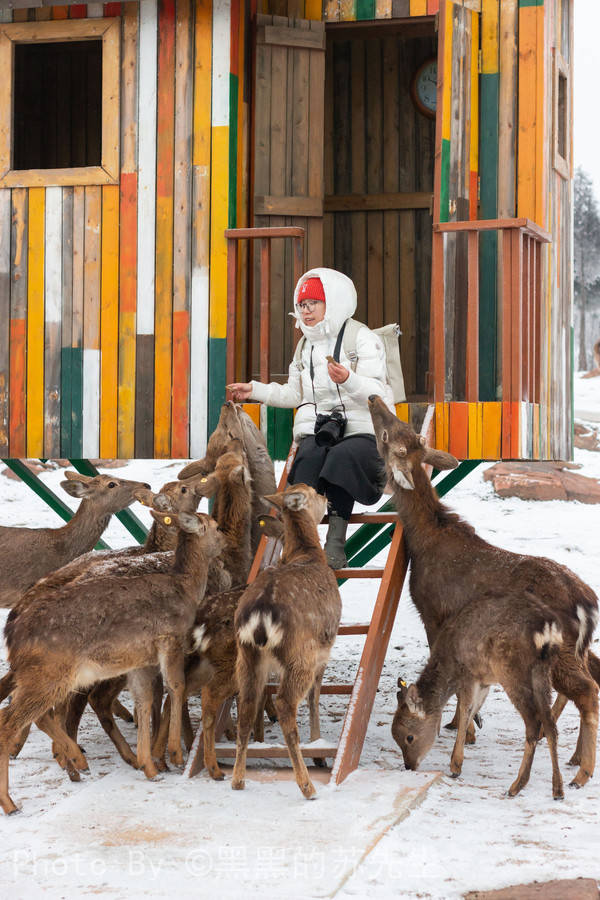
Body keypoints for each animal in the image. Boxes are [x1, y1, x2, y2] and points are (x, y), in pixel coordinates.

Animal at [0, 506, 225, 816]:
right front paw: (175, 755)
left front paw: (149, 766)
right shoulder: (170, 638)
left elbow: (145, 700)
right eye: (215, 526)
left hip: (45, 675)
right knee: (10, 721)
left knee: (36, 715)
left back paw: (75, 764)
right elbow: (176, 687)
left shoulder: (140, 660)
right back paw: (13, 803)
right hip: (50, 672)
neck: (186, 590)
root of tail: (12, 635)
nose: (226, 540)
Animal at [231, 486, 340, 800]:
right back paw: (307, 786)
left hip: (245, 654)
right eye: (313, 492)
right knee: (284, 704)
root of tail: (260, 615)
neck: (307, 554)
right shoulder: (325, 649)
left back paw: (237, 780)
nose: (327, 496)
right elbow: (316, 696)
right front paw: (318, 748)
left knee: (247, 704)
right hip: (299, 654)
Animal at [368, 398, 596, 792]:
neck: (425, 542)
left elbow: (459, 687)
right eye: (403, 429)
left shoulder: (435, 614)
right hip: (574, 650)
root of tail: (588, 603)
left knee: (587, 691)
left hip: (562, 650)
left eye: (387, 435)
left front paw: (462, 732)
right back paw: (572, 759)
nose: (373, 399)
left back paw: (581, 771)